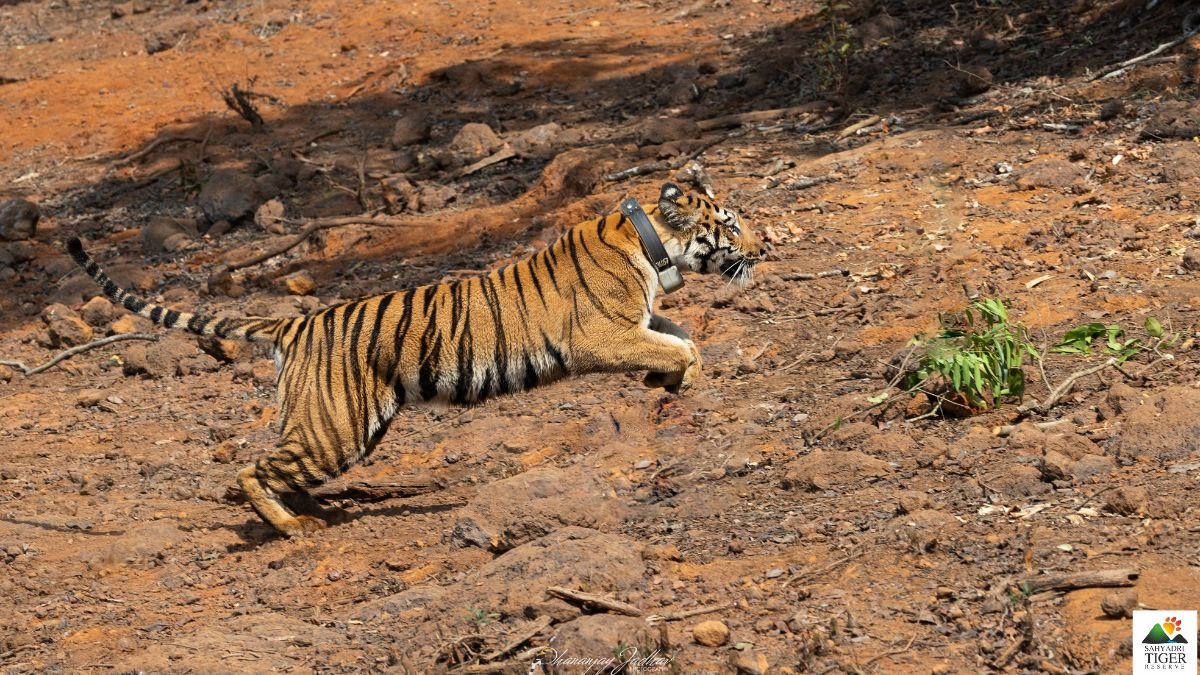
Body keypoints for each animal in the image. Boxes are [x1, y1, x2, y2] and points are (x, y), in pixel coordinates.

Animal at [67, 182, 764, 537]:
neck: (652, 245)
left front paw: (666, 377)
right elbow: (681, 341)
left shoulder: (638, 321)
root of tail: (294, 321)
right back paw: (293, 528)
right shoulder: (600, 335)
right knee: (251, 468)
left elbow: (682, 334)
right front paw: (672, 377)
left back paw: (316, 511)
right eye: (730, 224)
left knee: (281, 464)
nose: (766, 245)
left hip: (337, 425)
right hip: (337, 427)